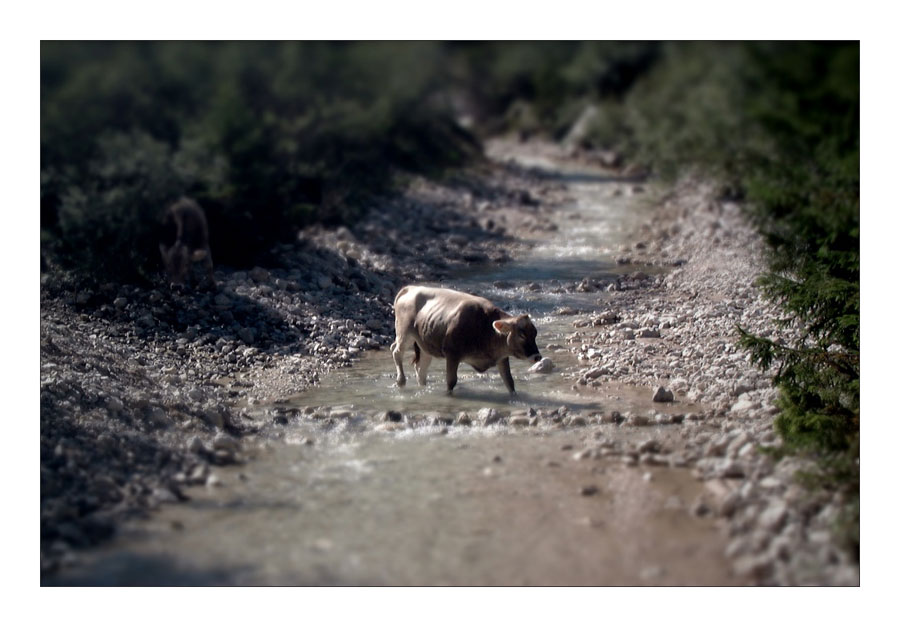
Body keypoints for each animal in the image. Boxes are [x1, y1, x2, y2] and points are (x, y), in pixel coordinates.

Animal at [388, 286, 540, 394]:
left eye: (535, 334)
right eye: (522, 335)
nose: (537, 357)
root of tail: (410, 288)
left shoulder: (502, 358)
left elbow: (509, 382)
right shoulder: (452, 354)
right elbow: (451, 382)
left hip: (424, 344)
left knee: (421, 369)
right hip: (404, 334)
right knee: (396, 351)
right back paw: (401, 381)